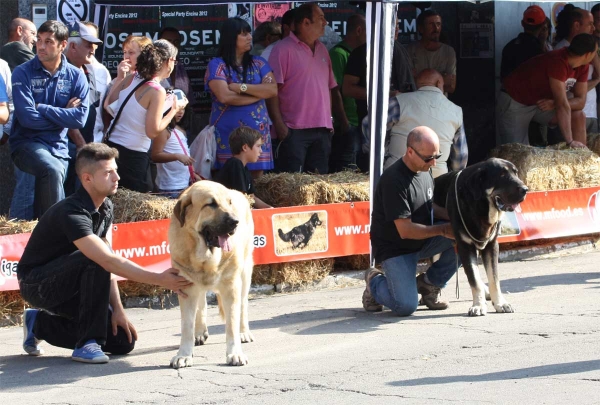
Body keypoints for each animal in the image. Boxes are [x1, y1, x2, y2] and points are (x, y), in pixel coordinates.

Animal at [434, 158, 528, 316]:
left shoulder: (491, 246)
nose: (525, 189)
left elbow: (494, 279)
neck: (481, 208)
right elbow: (474, 279)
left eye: (515, 172)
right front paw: (478, 305)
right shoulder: (465, 247)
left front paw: (500, 303)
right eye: (502, 175)